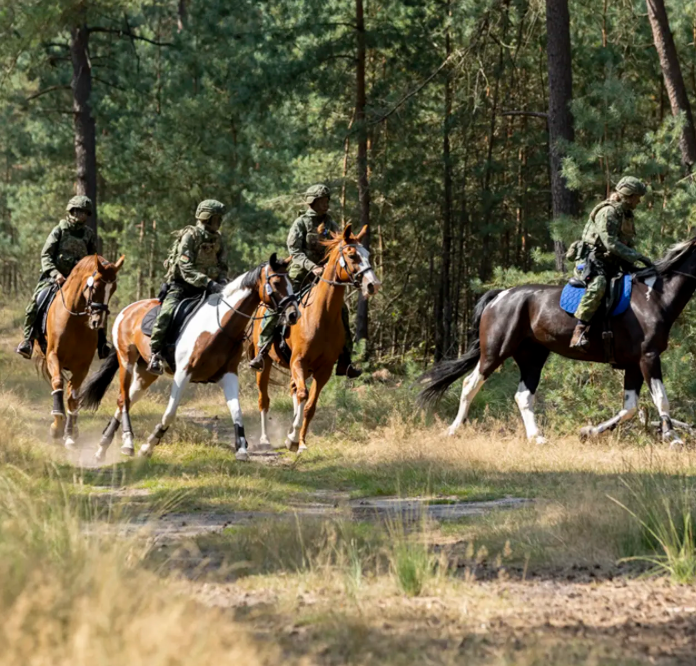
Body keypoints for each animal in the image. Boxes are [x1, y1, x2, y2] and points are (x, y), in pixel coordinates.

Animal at [40, 254, 125, 448]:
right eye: (96, 286)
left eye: (113, 289)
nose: (97, 322)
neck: (75, 321)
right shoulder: (53, 356)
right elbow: (58, 384)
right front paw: (57, 425)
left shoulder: (82, 367)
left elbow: (73, 399)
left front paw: (69, 434)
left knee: (74, 396)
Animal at [80, 254, 299, 461]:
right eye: (276, 283)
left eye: (291, 283)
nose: (293, 314)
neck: (219, 326)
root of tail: (128, 310)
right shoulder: (183, 373)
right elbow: (169, 414)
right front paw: (148, 447)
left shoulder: (228, 374)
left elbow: (237, 412)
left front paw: (242, 450)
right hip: (126, 360)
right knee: (123, 399)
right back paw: (128, 443)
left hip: (146, 372)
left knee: (127, 399)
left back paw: (102, 447)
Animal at [249, 224, 382, 453]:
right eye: (352, 255)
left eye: (368, 254)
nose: (373, 284)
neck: (322, 316)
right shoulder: (299, 362)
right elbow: (303, 395)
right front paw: (292, 437)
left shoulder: (323, 370)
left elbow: (310, 405)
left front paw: (299, 441)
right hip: (264, 363)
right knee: (264, 399)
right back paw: (265, 438)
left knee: (294, 391)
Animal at [418, 237, 696, 446]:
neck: (653, 297)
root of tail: (501, 295)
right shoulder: (648, 357)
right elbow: (661, 398)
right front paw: (673, 438)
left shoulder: (633, 364)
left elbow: (628, 408)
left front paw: (588, 432)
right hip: (495, 351)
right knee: (470, 384)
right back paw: (453, 430)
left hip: (532, 357)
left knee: (523, 396)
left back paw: (536, 437)